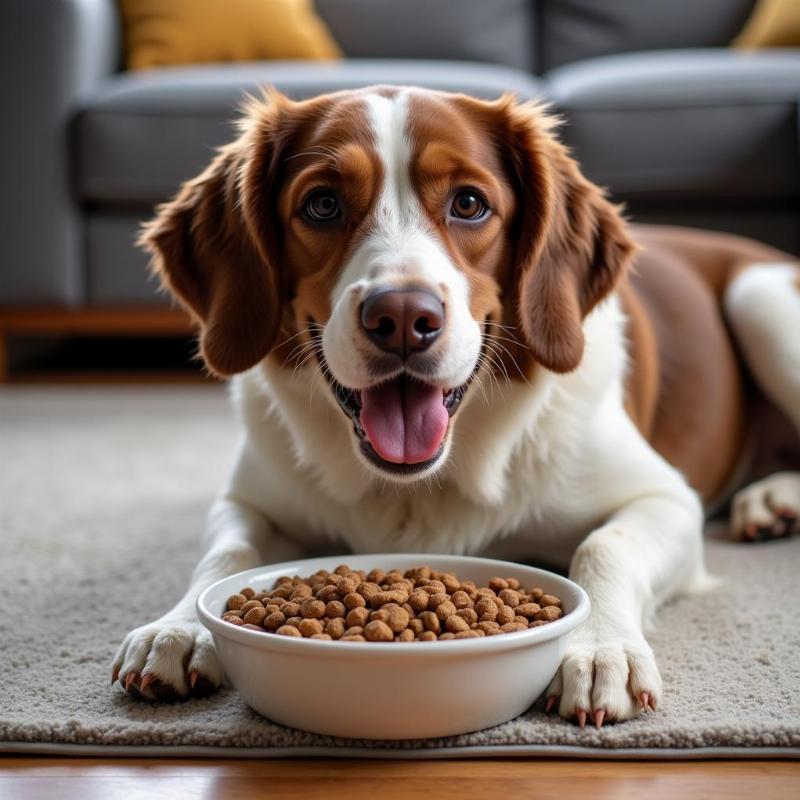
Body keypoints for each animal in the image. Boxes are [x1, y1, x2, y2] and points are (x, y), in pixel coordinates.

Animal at [111, 86, 800, 724]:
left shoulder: (664, 497)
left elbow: (604, 546)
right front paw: (179, 626)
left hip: (761, 301)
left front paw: (598, 646)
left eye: (469, 203)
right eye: (322, 204)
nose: (401, 317)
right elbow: (225, 554)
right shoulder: (250, 501)